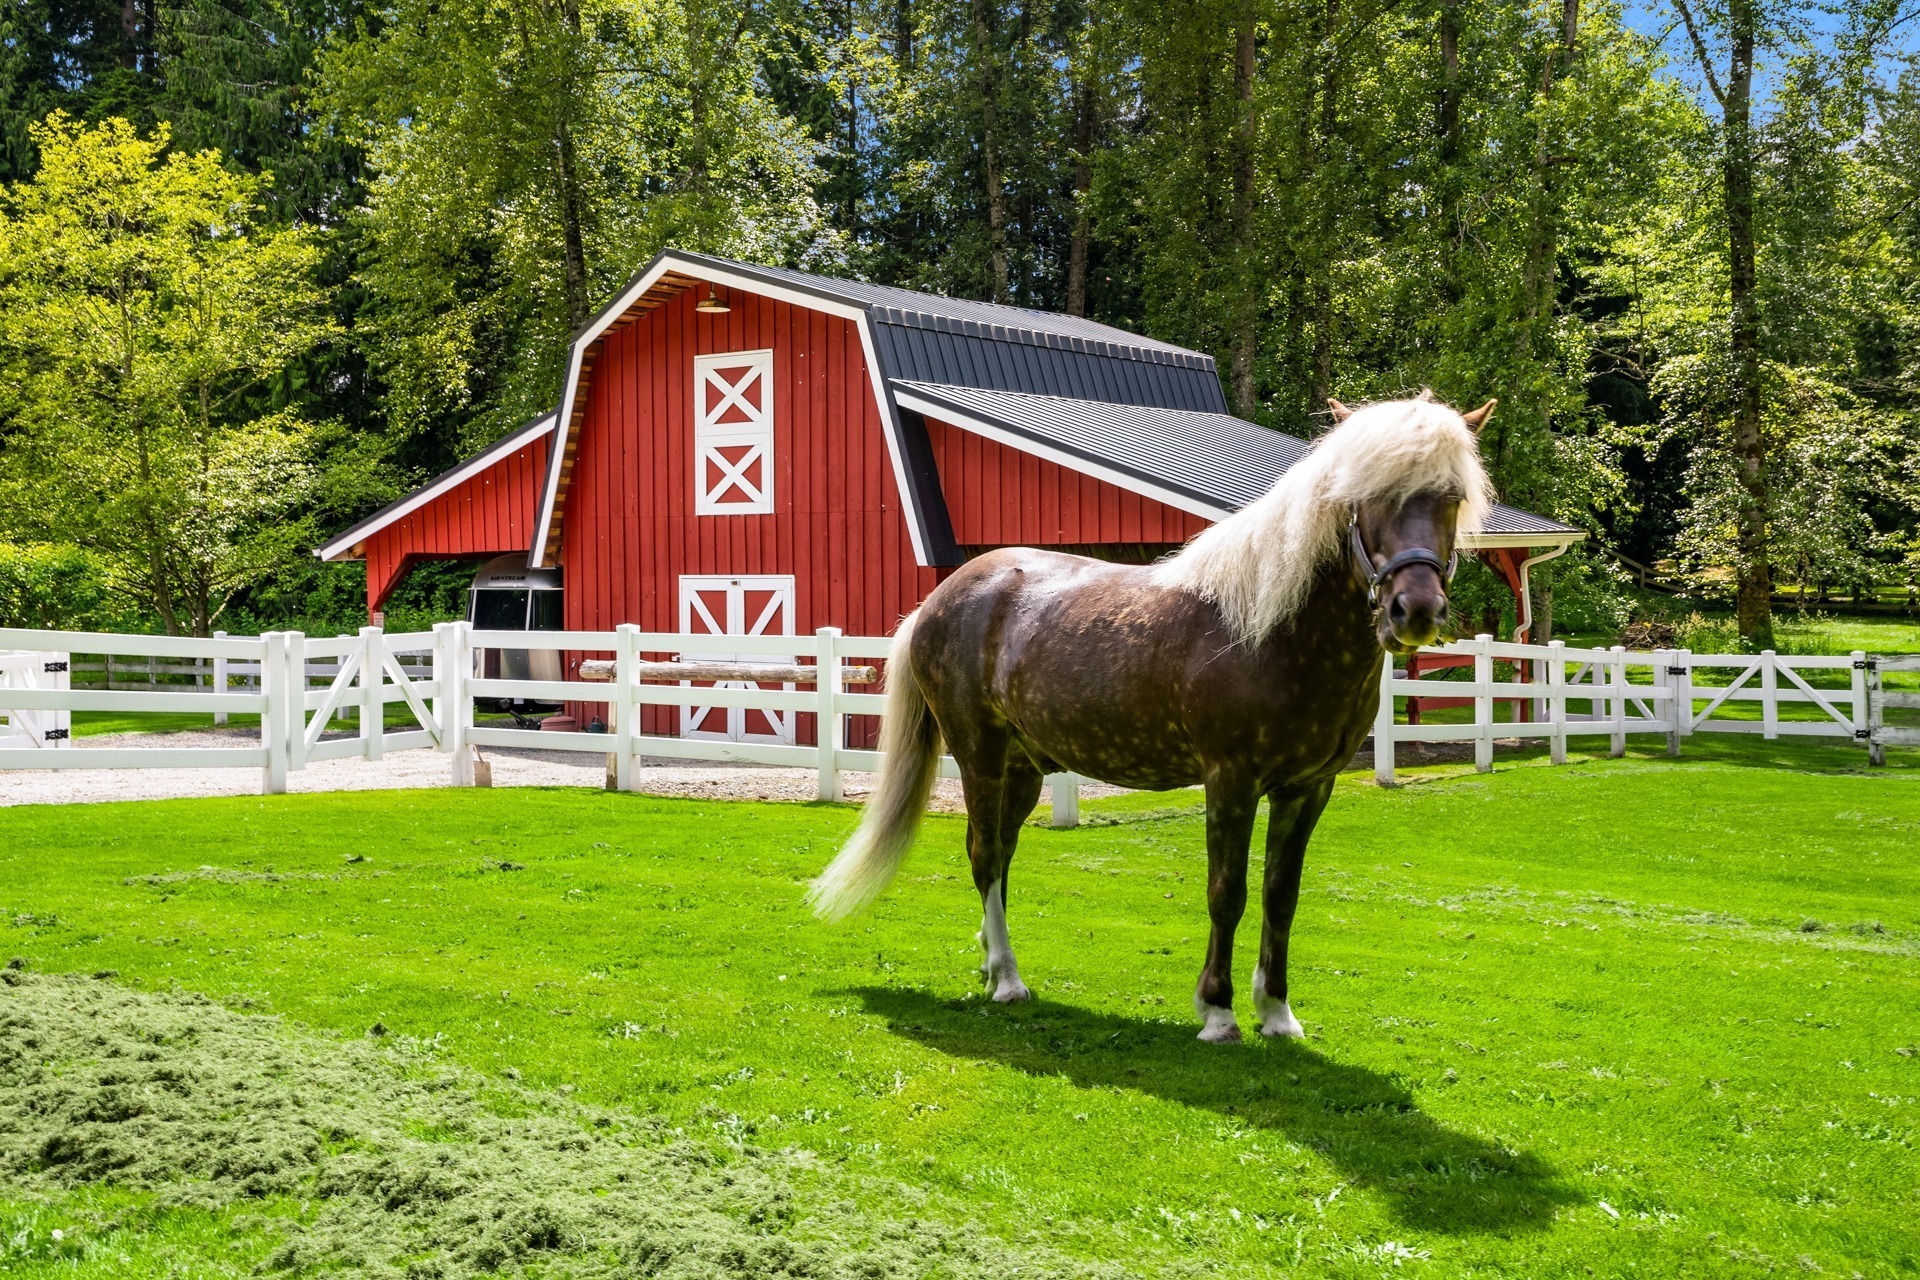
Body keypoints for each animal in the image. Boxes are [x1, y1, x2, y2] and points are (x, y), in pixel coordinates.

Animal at [802, 397, 1489, 1043]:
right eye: (1366, 498)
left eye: (1451, 498)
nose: (1415, 610)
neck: (1270, 631)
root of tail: (938, 599)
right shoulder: (1230, 782)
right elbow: (1228, 893)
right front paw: (1218, 1012)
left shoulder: (1307, 790)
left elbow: (1281, 897)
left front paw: (1277, 1013)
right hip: (980, 754)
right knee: (984, 853)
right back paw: (1008, 980)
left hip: (1024, 768)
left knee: (1000, 854)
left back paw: (992, 965)